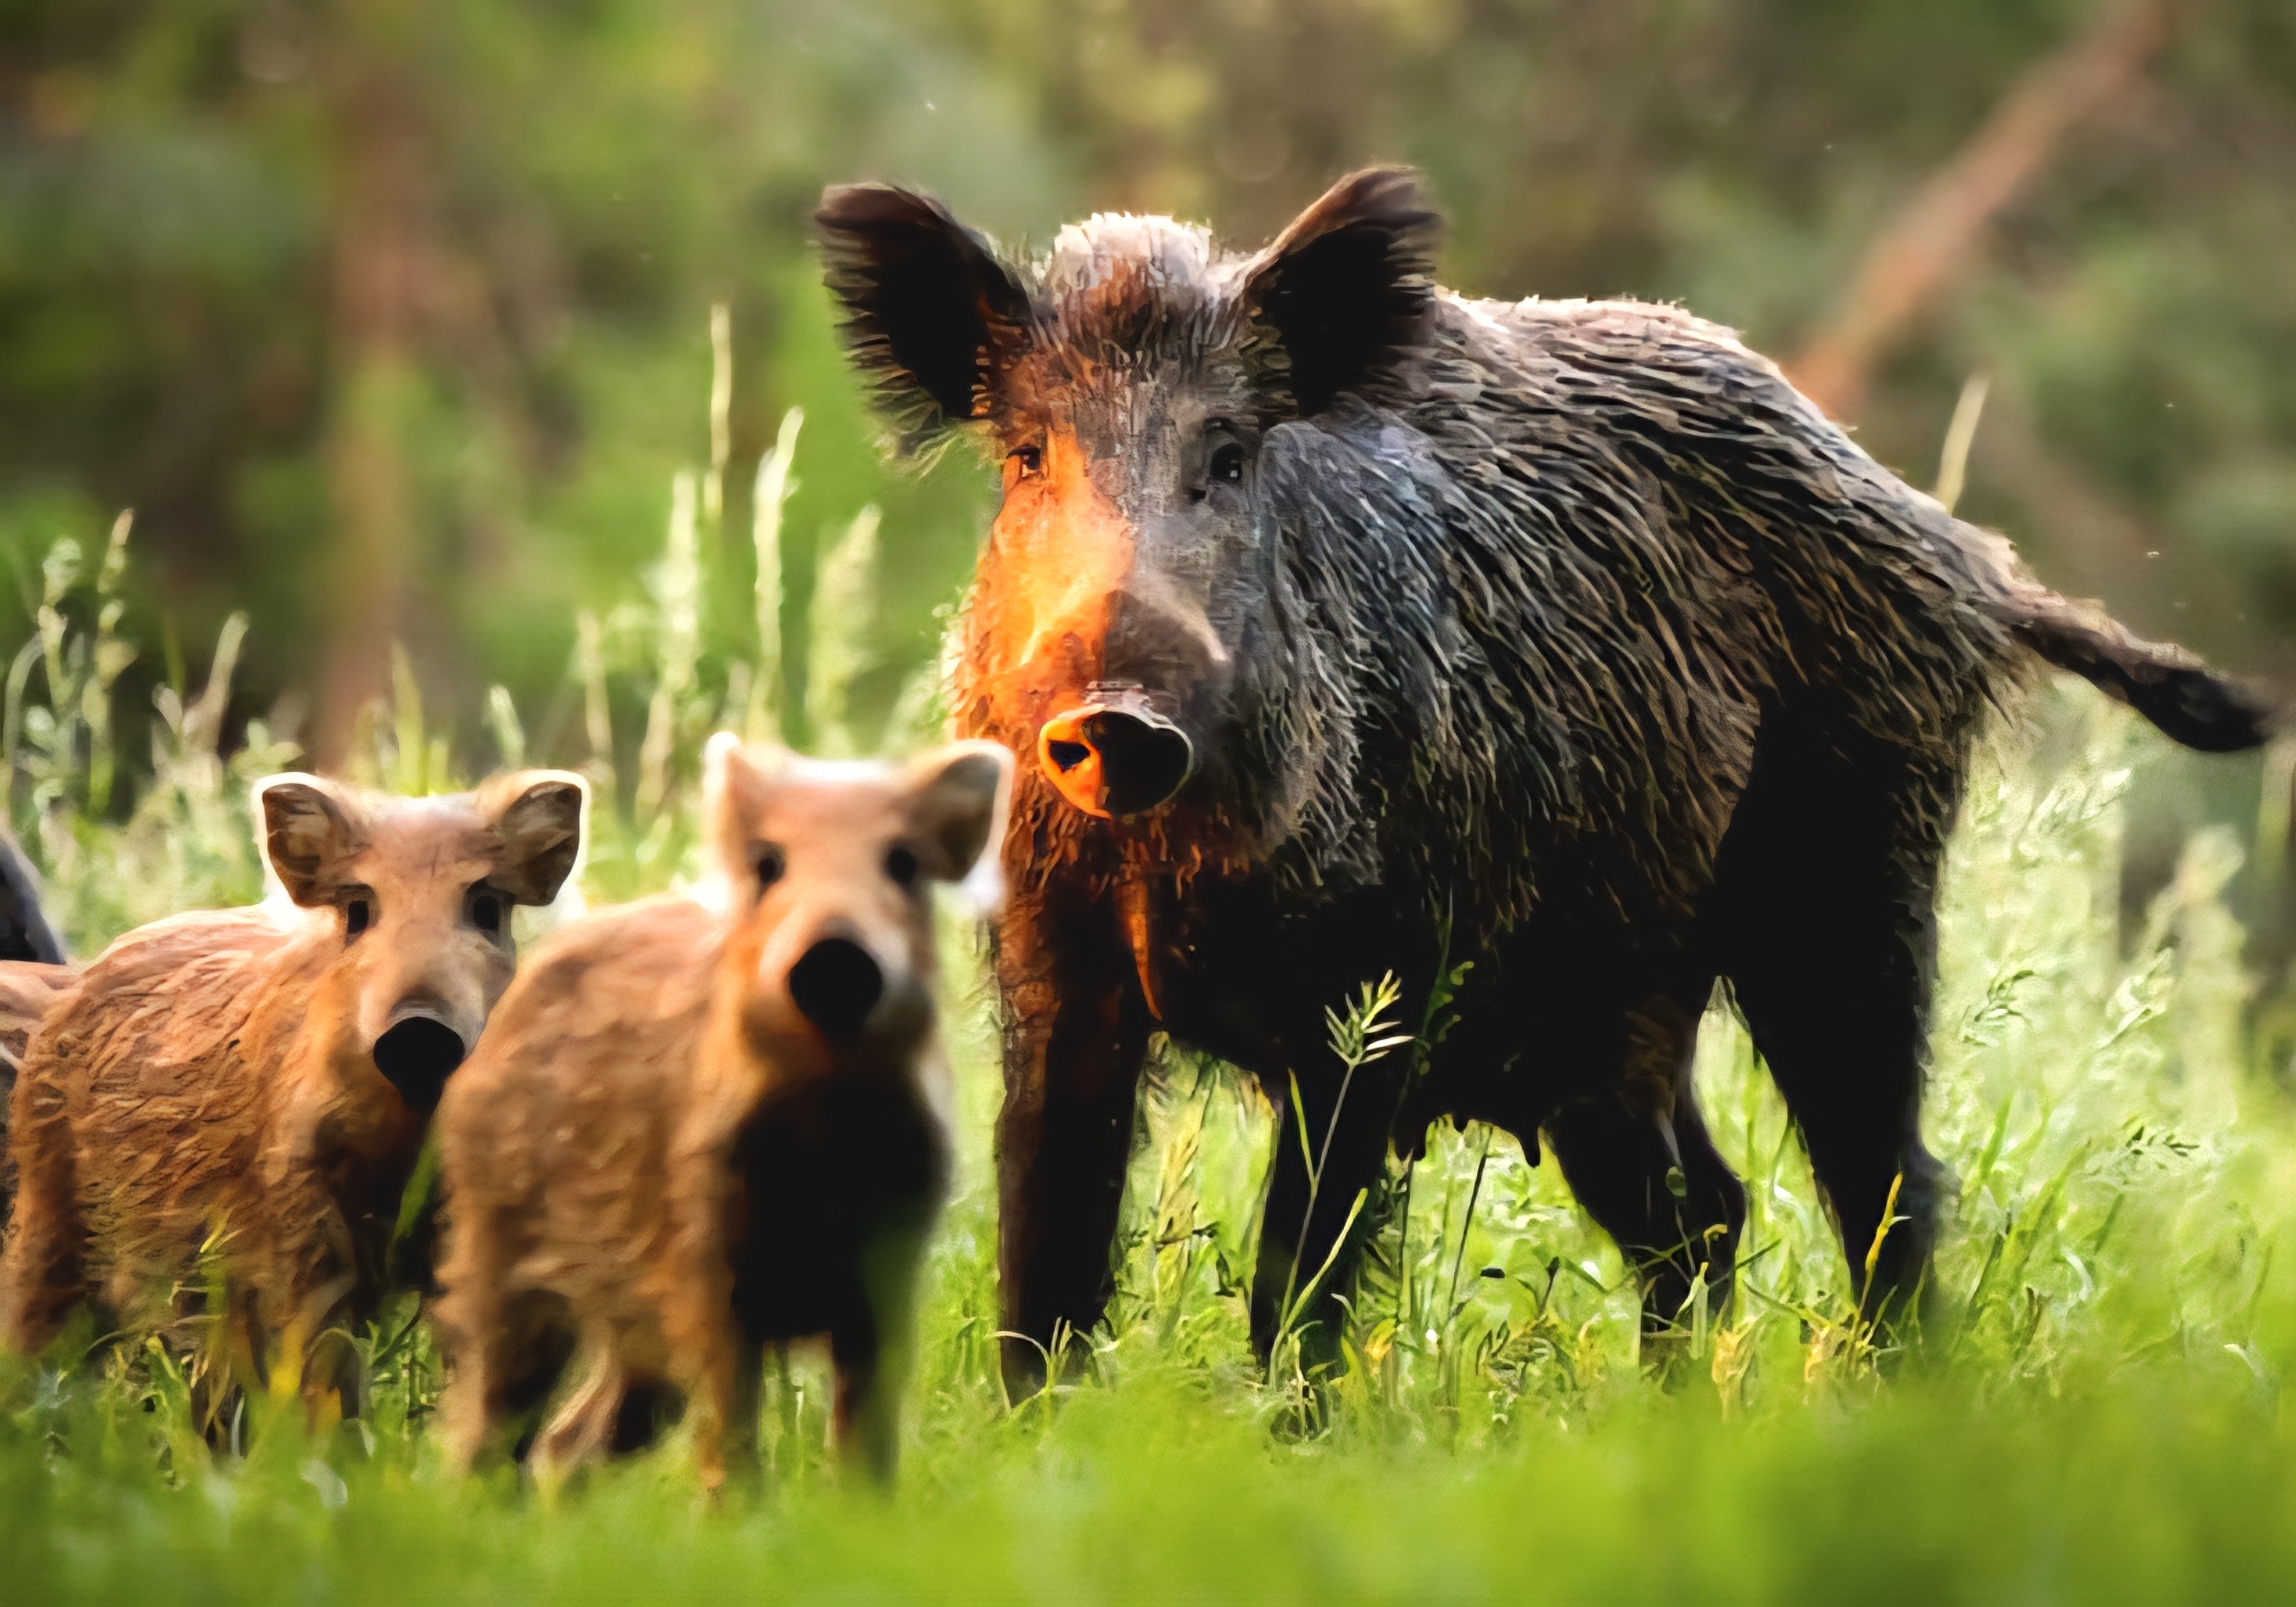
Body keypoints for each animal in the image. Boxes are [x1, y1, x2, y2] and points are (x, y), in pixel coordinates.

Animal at [0, 769, 586, 1413]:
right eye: (358, 911)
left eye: (487, 909)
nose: (419, 1032)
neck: (398, 1153)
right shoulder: (293, 1213)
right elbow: (320, 1369)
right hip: (47, 1209)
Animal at [430, 736, 1010, 1489]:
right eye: (767, 865)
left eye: (904, 863)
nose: (834, 955)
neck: (826, 1120)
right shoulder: (702, 1261)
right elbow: (731, 1428)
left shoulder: (889, 1266)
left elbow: (867, 1432)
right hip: (500, 1257)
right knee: (491, 1427)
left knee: (570, 1441)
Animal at [813, 166, 2275, 1390]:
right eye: (1026, 458)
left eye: (1228, 457)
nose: (1118, 717)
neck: (1163, 869)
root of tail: (1963, 552)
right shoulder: (1054, 973)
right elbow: (1043, 1259)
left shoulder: (1374, 994)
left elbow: (1299, 1277)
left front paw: (1286, 1443)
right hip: (1618, 1008)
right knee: (1703, 1209)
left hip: (1852, 874)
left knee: (1885, 1180)